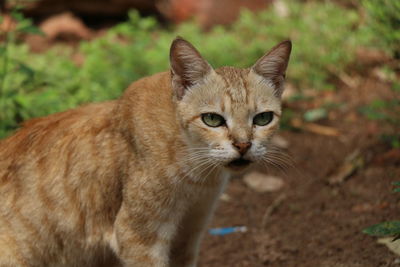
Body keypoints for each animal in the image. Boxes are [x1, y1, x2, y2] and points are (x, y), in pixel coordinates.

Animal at [0, 36, 290, 266]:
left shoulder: (189, 234)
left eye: (263, 119)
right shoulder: (138, 238)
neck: (197, 175)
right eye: (212, 119)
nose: (243, 145)